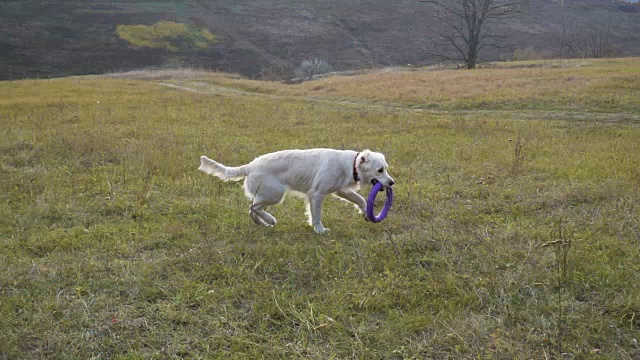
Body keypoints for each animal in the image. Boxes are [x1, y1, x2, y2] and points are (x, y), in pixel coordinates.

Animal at [198, 148, 396, 233]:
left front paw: (365, 214)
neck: (350, 164)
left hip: (269, 195)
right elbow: (316, 216)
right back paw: (269, 219)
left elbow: (361, 200)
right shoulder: (316, 195)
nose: (392, 183)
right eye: (380, 170)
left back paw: (262, 223)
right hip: (276, 194)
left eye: (386, 168)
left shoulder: (341, 190)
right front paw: (319, 230)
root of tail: (250, 166)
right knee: (252, 207)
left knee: (252, 209)